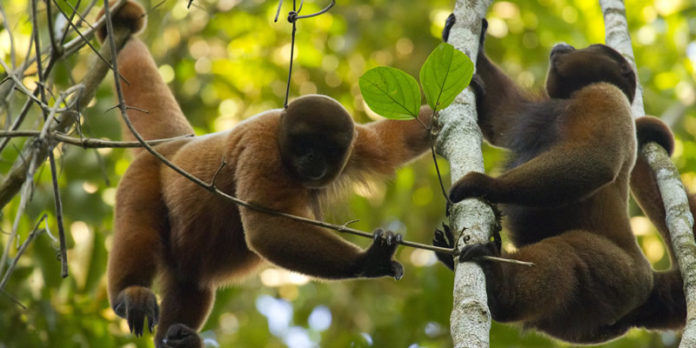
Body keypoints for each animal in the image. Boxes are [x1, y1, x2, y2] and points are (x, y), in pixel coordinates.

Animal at [98, 1, 436, 346]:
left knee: (191, 281)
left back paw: (178, 337)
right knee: (138, 225)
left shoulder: (355, 143)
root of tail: (173, 146)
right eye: (304, 143)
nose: (313, 158)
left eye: (328, 148)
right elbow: (265, 226)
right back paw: (131, 293)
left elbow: (393, 142)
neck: (281, 135)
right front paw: (369, 262)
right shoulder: (262, 146)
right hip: (143, 175)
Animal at [436, 16, 684, 342]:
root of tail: (651, 282)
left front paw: (485, 185)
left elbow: (598, 157)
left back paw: (499, 284)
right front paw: (472, 38)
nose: (564, 46)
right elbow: (500, 114)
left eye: (591, 47)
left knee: (570, 252)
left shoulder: (605, 93)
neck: (569, 98)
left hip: (624, 281)